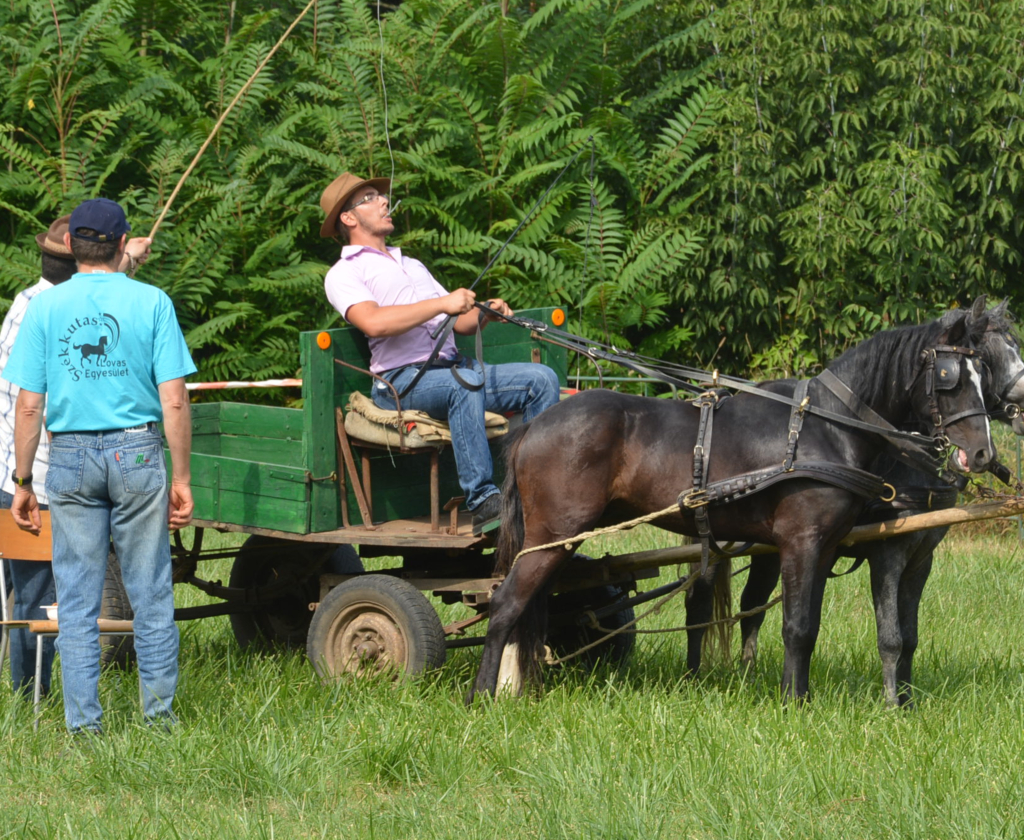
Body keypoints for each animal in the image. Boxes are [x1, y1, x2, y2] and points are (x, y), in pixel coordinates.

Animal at [468, 309, 991, 700]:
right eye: (950, 377)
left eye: (981, 373)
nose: (983, 452)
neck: (827, 426)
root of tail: (533, 426)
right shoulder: (801, 542)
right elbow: (797, 626)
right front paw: (793, 702)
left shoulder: (824, 547)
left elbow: (809, 625)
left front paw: (798, 695)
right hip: (554, 536)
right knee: (506, 606)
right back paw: (482, 695)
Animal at [716, 299, 1024, 704]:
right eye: (988, 360)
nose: (983, 452)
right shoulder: (887, 553)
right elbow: (890, 636)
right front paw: (891, 703)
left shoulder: (921, 558)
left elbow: (910, 637)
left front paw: (908, 700)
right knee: (751, 605)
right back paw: (747, 676)